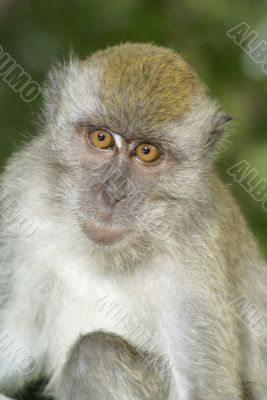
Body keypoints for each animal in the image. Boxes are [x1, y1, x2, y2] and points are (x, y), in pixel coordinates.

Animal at [0, 42, 267, 398]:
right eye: (101, 138)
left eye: (146, 152)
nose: (112, 195)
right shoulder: (24, 189)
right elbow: (17, 341)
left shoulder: (198, 242)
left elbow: (204, 390)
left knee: (95, 352)